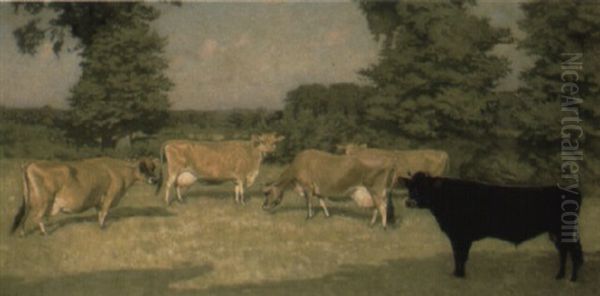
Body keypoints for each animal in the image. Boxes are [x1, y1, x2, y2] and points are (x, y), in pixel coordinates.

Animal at [12, 157, 161, 236]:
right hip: (44, 201)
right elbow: (104, 213)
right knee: (36, 217)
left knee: (24, 216)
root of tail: (30, 164)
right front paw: (102, 228)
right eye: (142, 168)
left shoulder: (99, 200)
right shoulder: (109, 197)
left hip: (29, 201)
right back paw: (45, 233)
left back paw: (22, 234)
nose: (154, 180)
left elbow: (100, 213)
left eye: (153, 168)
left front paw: (101, 225)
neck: (119, 172)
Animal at [260, 149, 396, 228]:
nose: (263, 207)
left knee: (382, 206)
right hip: (373, 192)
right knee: (376, 207)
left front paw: (308, 217)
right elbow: (322, 202)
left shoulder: (308, 187)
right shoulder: (317, 190)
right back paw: (371, 224)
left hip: (376, 190)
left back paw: (383, 227)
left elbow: (309, 202)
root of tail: (389, 160)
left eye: (267, 193)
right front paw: (327, 215)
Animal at [404, 173, 580, 282]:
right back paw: (562, 275)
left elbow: (460, 256)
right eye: (410, 187)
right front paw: (456, 273)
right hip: (557, 233)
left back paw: (571, 278)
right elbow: (458, 256)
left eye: (424, 187)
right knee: (565, 252)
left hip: (562, 232)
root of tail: (571, 189)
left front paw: (459, 275)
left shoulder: (461, 236)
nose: (408, 202)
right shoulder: (457, 237)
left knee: (573, 252)